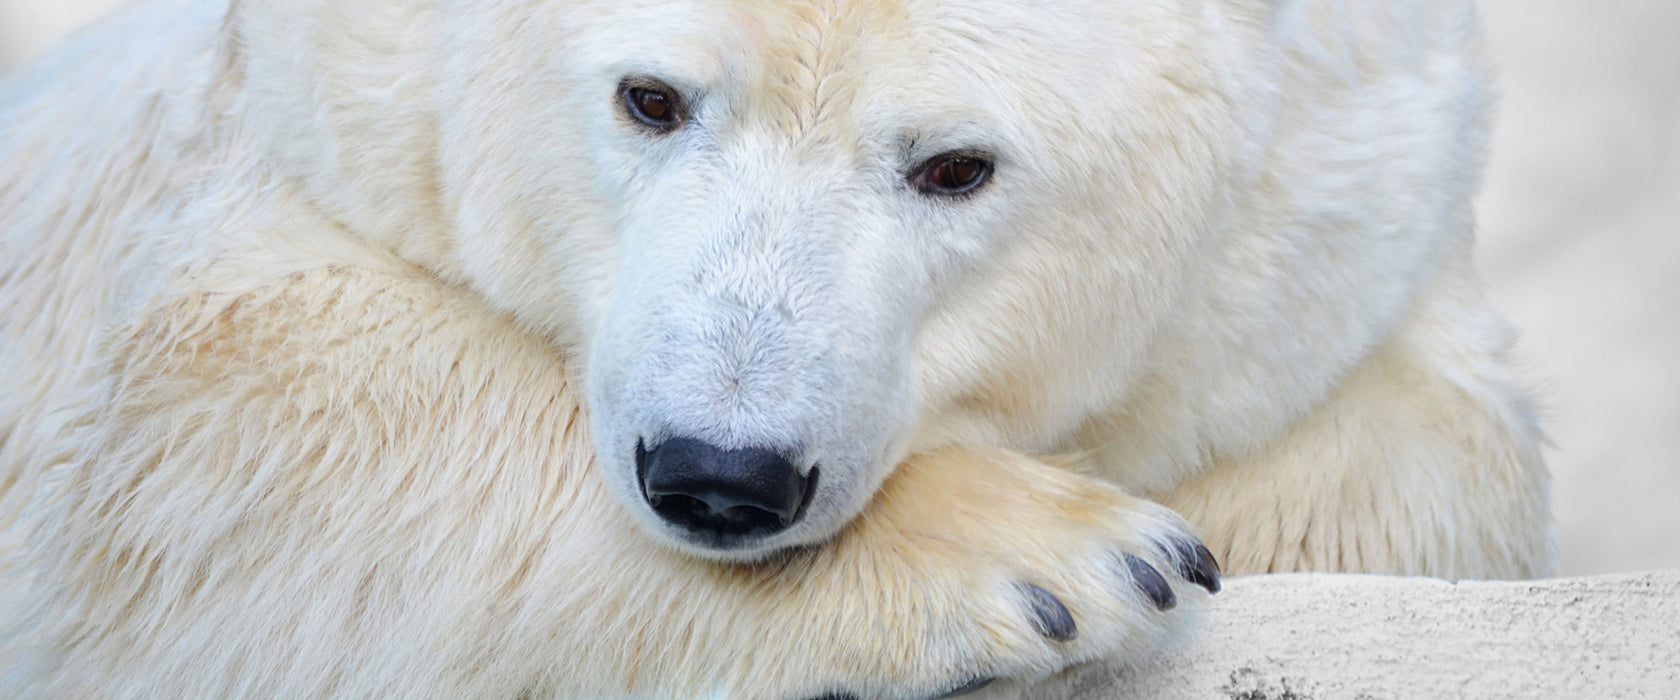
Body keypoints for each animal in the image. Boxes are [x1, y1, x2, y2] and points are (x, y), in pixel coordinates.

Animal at [0, 0, 1545, 694]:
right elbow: (225, 414)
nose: (720, 474)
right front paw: (1051, 560)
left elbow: (1427, 465)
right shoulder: (301, 130)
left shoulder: (1338, 217)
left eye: (955, 167)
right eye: (650, 95)